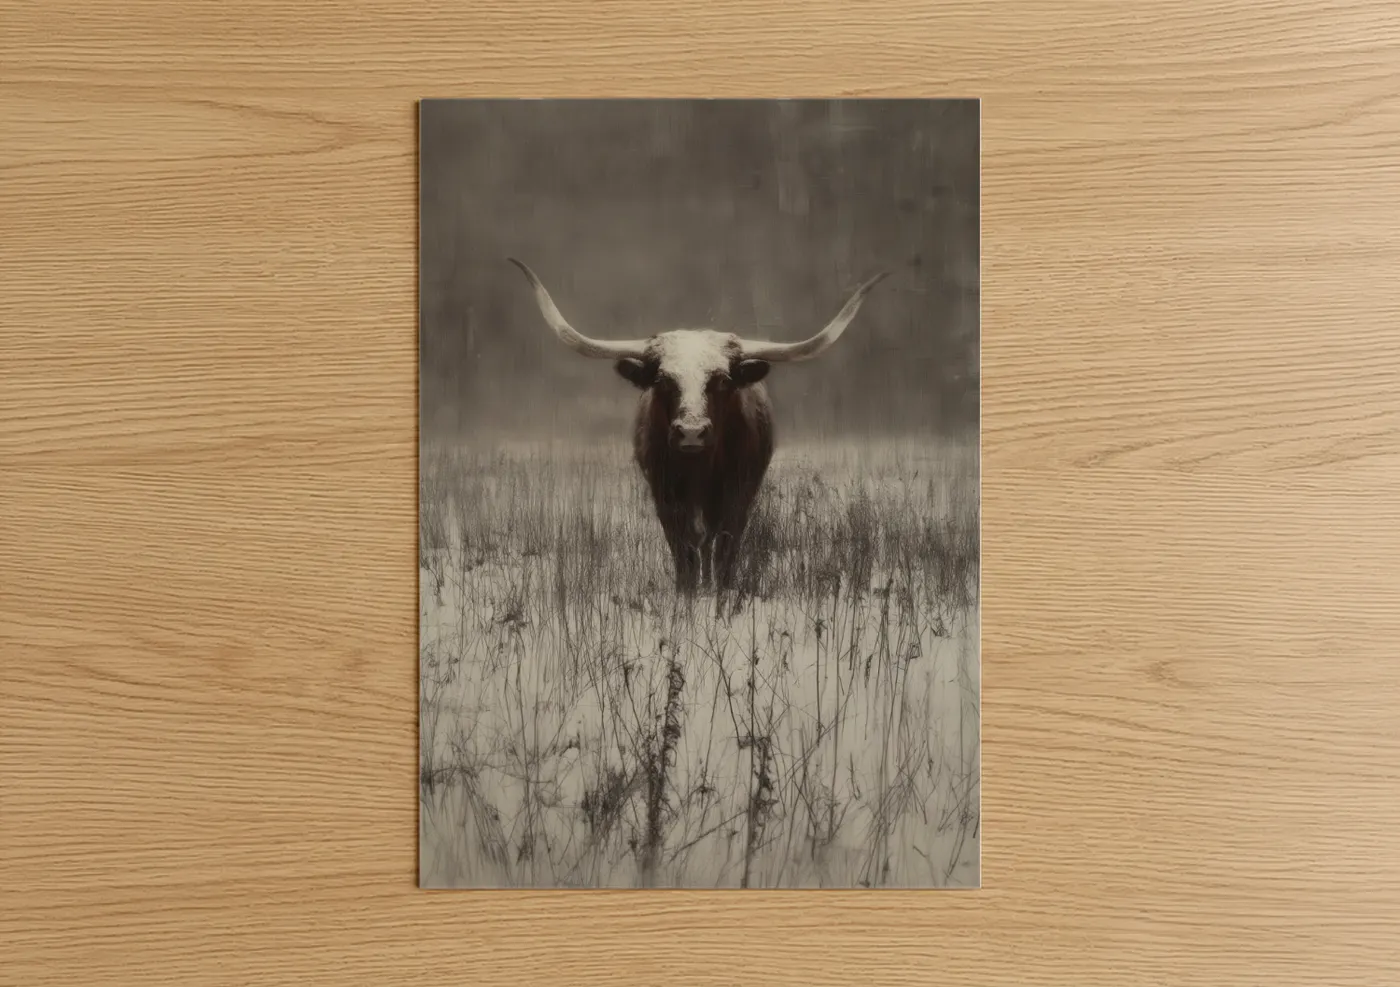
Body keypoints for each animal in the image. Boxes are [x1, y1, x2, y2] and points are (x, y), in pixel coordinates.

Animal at [508, 257, 888, 595]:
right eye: (663, 380)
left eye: (722, 380)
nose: (691, 431)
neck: (699, 469)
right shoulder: (665, 494)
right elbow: (684, 549)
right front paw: (687, 591)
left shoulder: (738, 492)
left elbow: (724, 546)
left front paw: (719, 589)